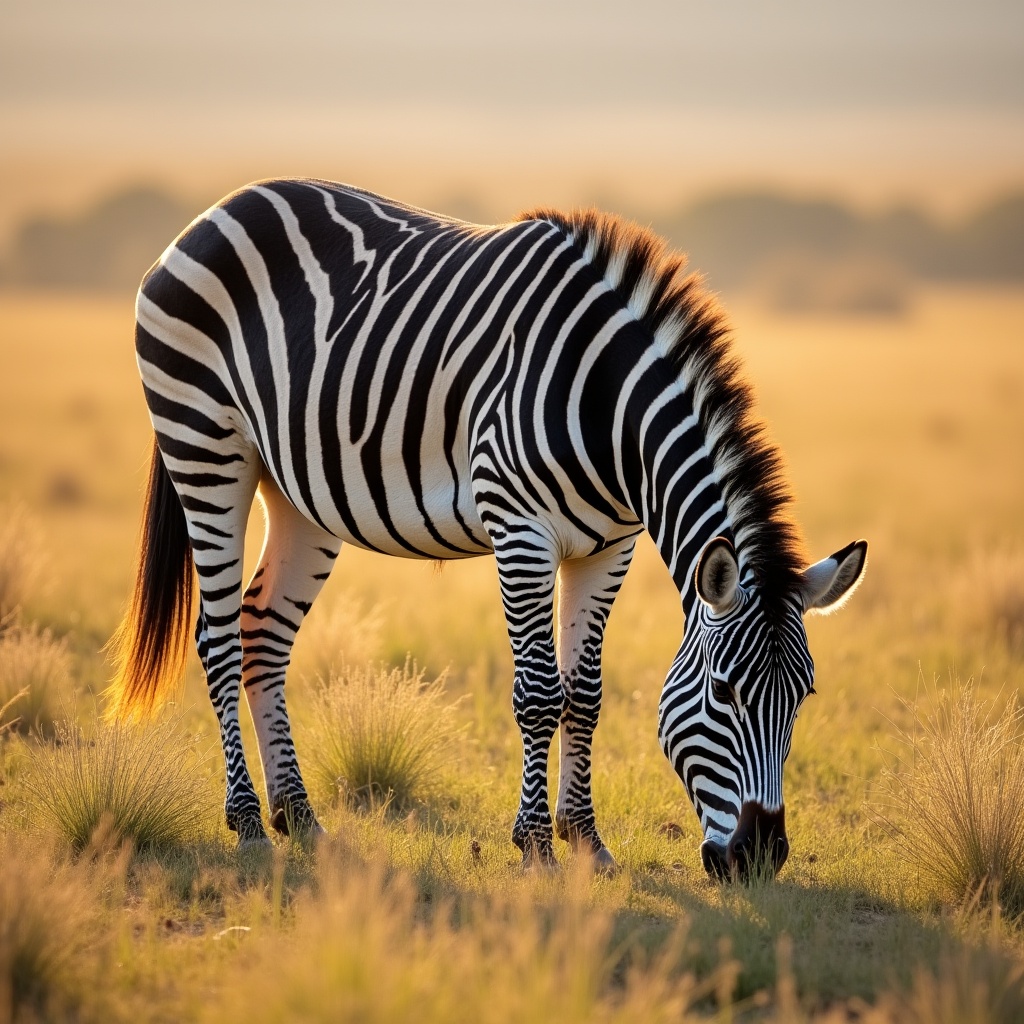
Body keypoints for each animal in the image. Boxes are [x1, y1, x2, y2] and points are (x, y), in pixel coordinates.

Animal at [108, 178, 867, 879]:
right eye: (724, 693)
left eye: (804, 697)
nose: (760, 858)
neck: (610, 413)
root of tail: (219, 208)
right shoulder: (520, 528)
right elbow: (538, 693)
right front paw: (534, 846)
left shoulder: (609, 547)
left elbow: (584, 694)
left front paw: (586, 841)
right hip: (206, 444)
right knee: (216, 639)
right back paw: (246, 824)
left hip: (299, 491)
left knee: (261, 633)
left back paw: (299, 817)